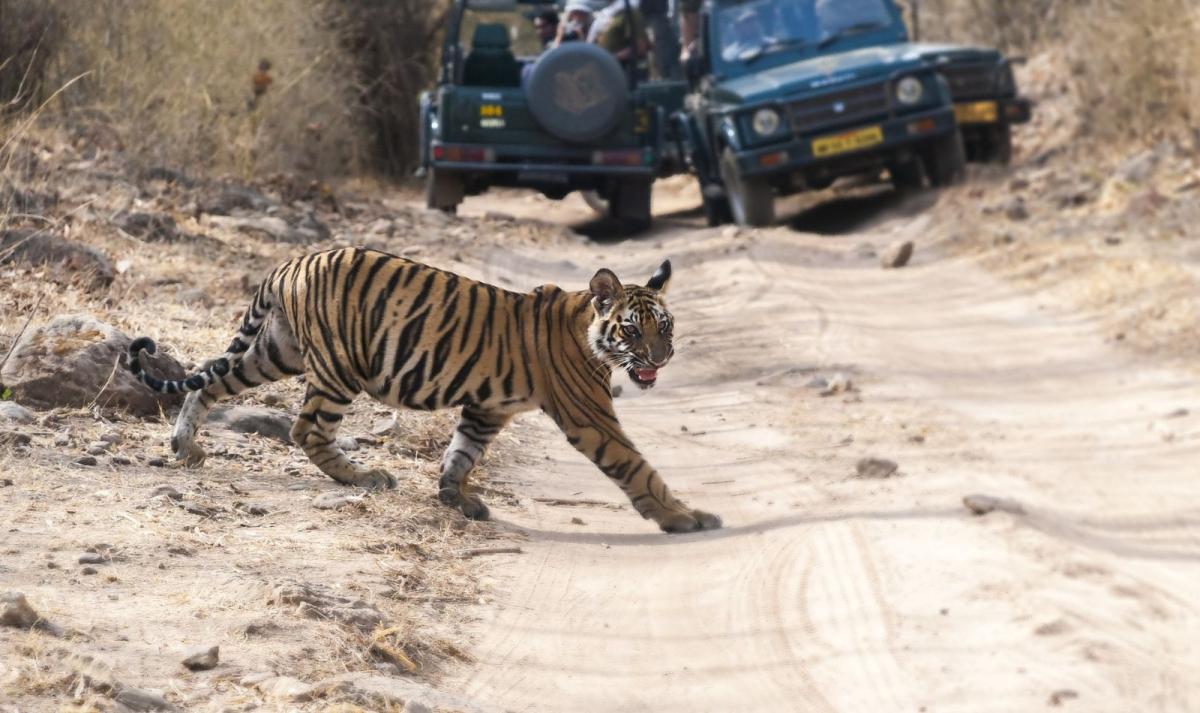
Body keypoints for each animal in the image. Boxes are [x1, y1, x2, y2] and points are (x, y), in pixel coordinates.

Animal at [126, 247, 721, 534]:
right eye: (633, 331)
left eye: (666, 327)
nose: (661, 360)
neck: (587, 329)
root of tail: (292, 261)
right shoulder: (590, 416)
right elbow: (638, 467)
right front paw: (685, 518)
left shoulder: (486, 407)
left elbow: (463, 453)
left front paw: (456, 497)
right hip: (338, 367)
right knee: (306, 429)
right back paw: (364, 477)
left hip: (275, 351)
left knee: (208, 377)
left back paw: (186, 446)